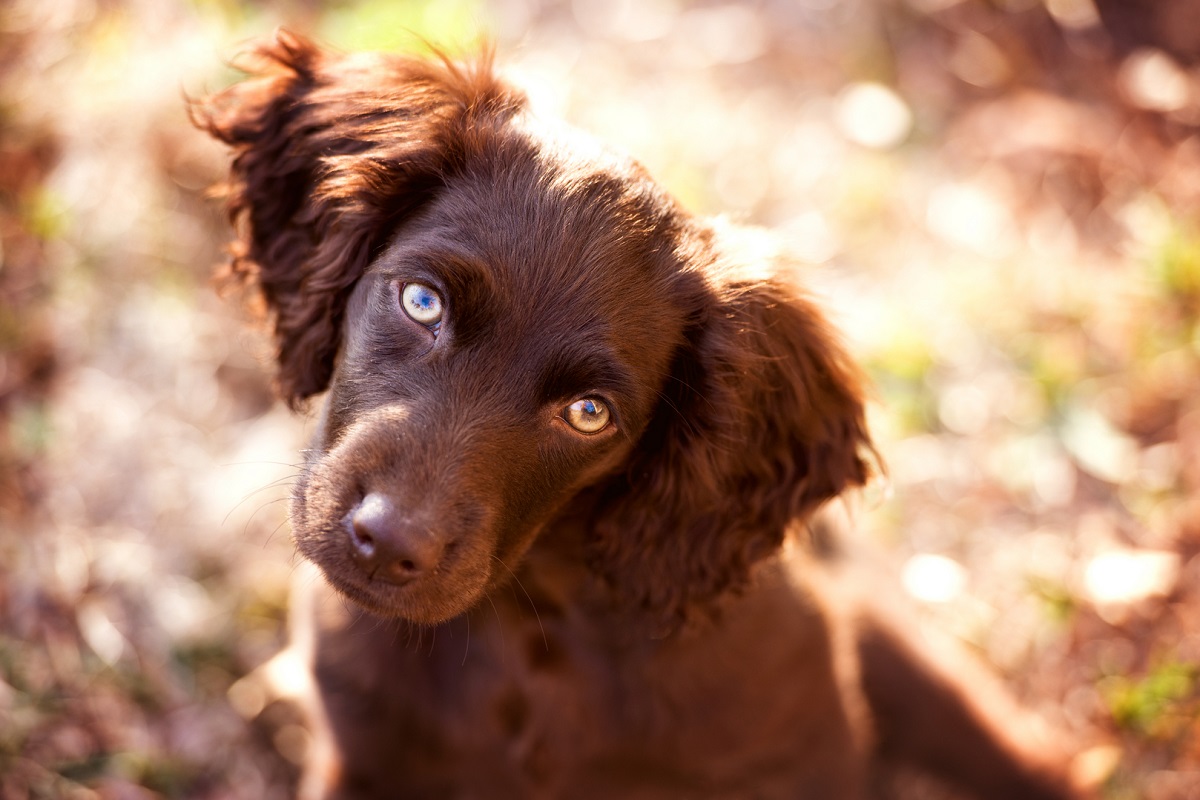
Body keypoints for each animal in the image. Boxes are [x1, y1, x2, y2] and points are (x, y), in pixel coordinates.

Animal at [196, 31, 1089, 800]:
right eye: (422, 302)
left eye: (589, 414)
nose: (387, 543)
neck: (529, 623)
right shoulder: (362, 756)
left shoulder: (803, 753)